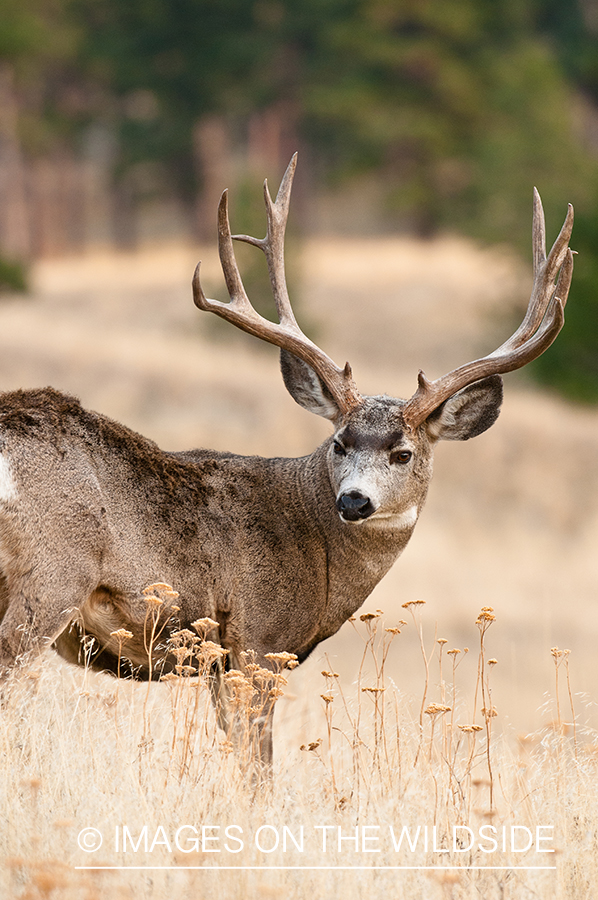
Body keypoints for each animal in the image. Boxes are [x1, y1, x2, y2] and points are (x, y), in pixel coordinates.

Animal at [0, 154, 573, 772]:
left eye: (402, 452)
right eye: (339, 443)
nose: (354, 500)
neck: (315, 550)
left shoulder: (220, 660)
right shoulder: (256, 640)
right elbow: (257, 765)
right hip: (51, 576)